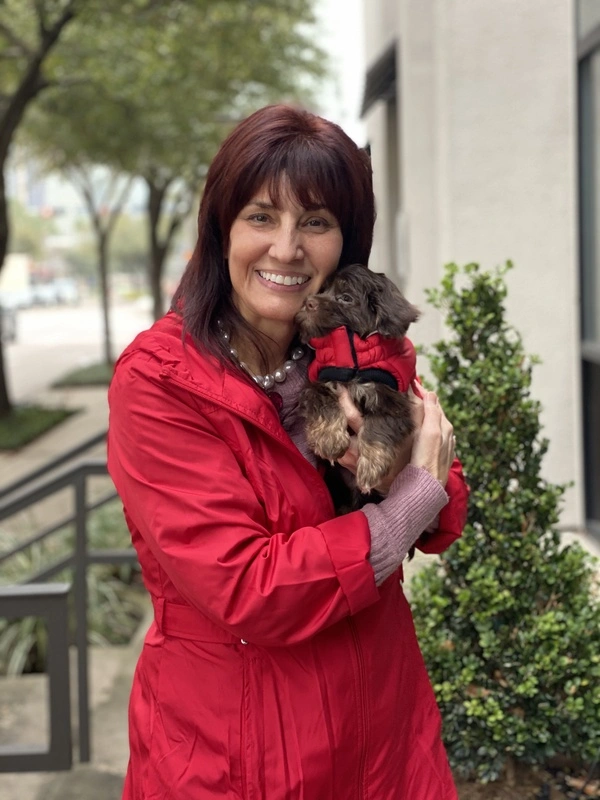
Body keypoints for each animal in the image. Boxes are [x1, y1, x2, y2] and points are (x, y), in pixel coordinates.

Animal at [296, 266, 420, 496]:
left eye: (345, 298)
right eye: (323, 290)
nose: (308, 302)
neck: (353, 364)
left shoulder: (391, 399)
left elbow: (379, 426)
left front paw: (371, 467)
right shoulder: (317, 384)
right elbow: (323, 402)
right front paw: (329, 439)